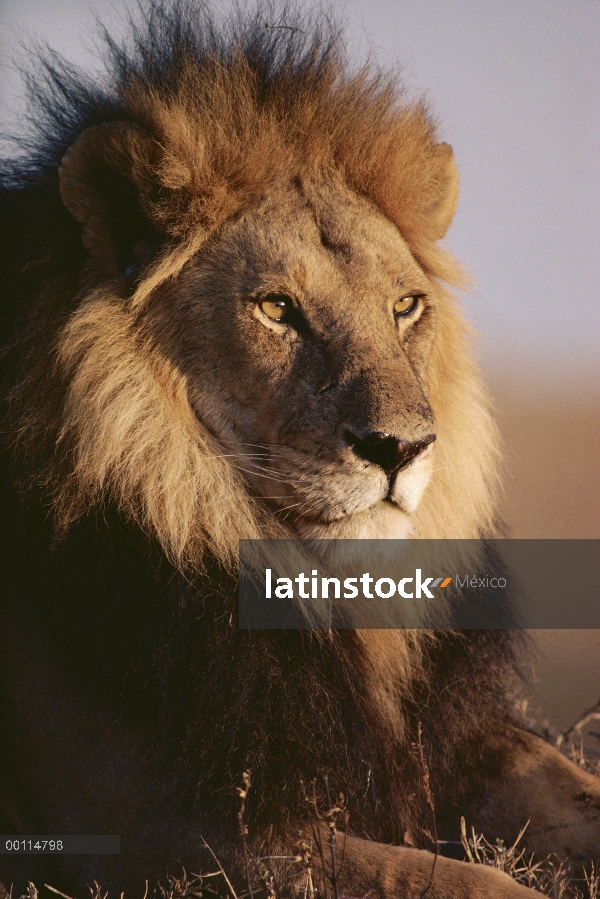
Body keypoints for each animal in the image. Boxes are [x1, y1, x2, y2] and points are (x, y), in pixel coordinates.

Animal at [1, 1, 600, 899]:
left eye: (405, 306)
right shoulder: (161, 832)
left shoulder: (444, 742)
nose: (401, 447)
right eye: (277, 308)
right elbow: (460, 880)